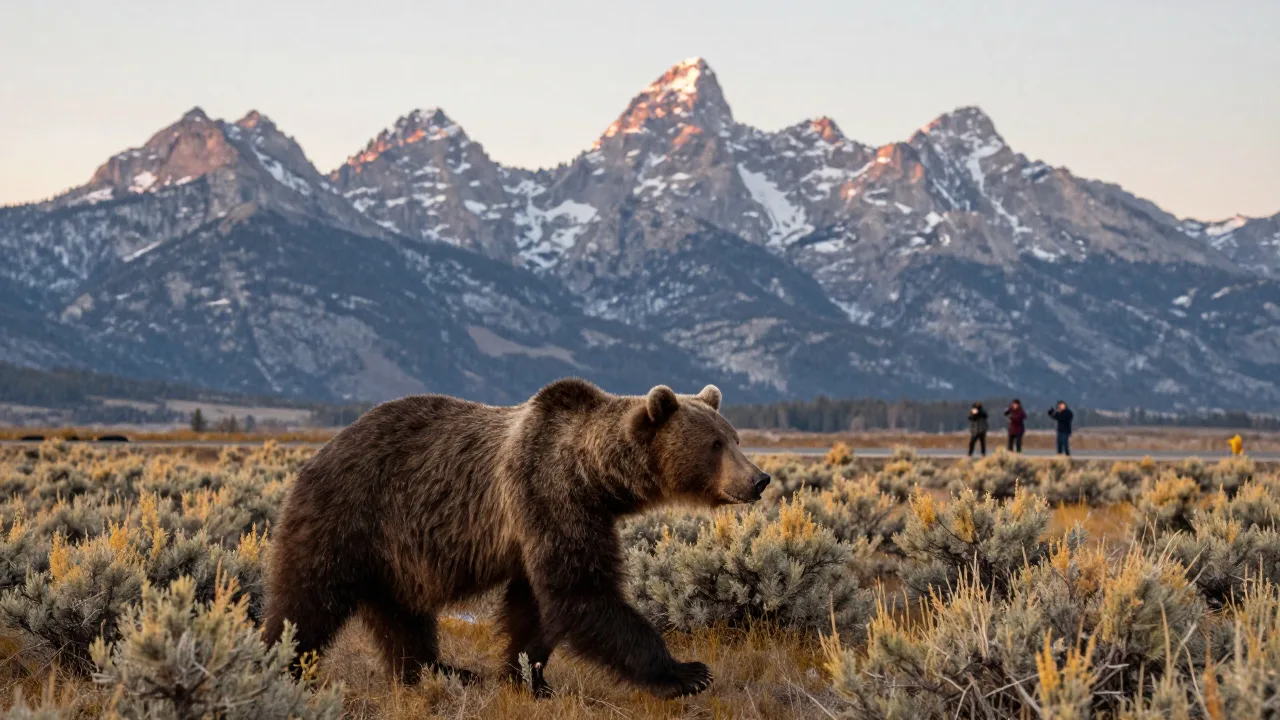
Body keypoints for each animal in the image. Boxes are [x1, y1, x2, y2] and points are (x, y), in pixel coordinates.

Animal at [262, 378, 771, 699]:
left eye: (735, 437)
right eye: (715, 445)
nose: (759, 479)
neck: (592, 477)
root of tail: (315, 456)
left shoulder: (553, 521)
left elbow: (535, 608)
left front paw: (528, 678)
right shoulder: (544, 494)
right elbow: (581, 592)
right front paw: (687, 673)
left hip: (392, 557)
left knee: (402, 618)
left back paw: (446, 670)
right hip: (347, 518)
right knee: (306, 601)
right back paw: (278, 663)